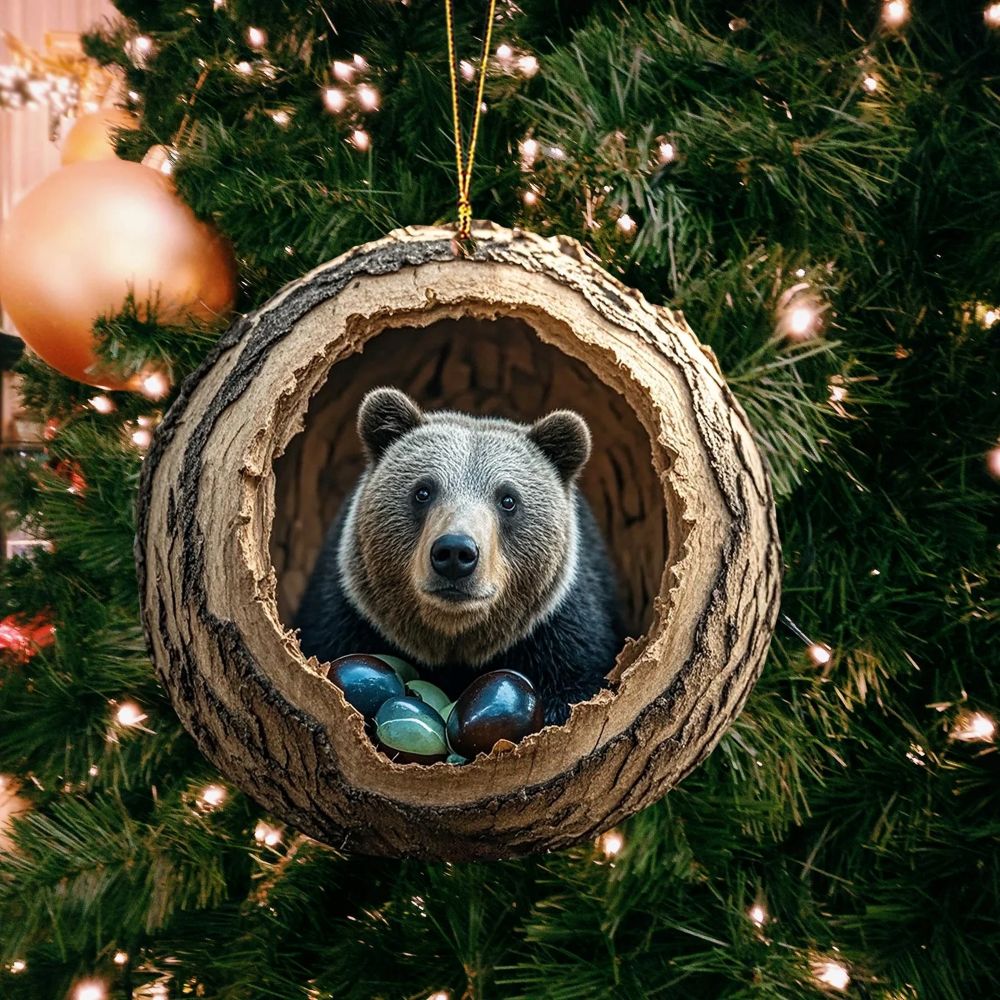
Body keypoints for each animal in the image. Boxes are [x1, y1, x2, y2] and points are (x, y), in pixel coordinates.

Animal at [294, 386, 625, 726]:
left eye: (508, 499)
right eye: (422, 491)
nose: (455, 552)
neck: (454, 635)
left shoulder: (562, 632)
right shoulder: (344, 615)